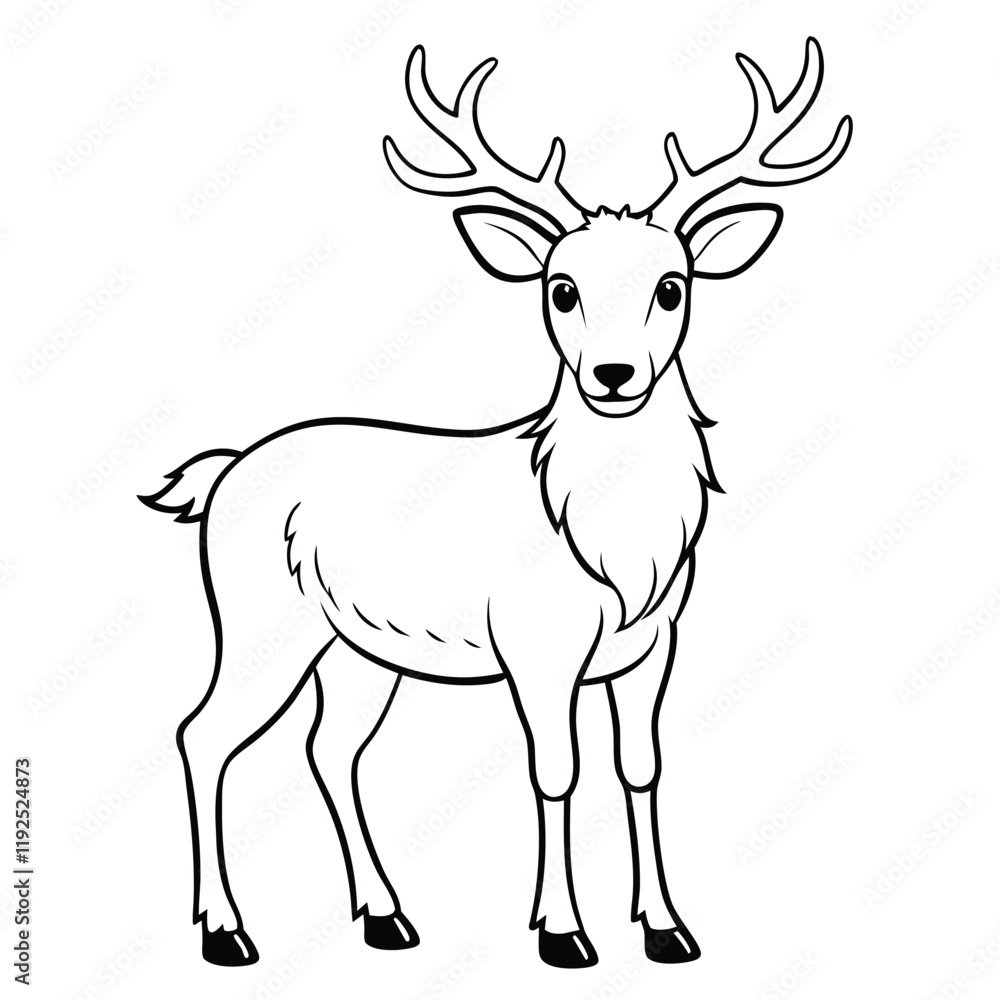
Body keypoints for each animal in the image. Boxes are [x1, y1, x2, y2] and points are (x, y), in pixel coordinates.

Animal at [141, 39, 851, 969]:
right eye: (561, 287)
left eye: (672, 285)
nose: (613, 374)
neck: (615, 553)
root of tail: (219, 477)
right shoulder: (535, 646)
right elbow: (556, 770)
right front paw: (563, 932)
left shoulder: (655, 643)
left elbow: (641, 764)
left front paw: (666, 928)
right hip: (259, 618)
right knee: (204, 734)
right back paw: (227, 931)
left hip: (359, 649)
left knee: (329, 749)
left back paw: (386, 917)